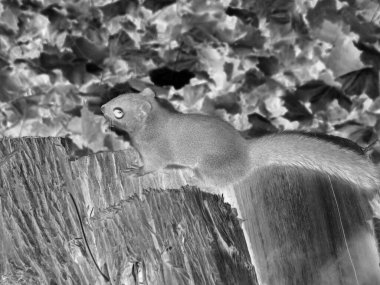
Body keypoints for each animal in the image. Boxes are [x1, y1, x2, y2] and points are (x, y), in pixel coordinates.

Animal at [101, 87, 380, 196]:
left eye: (119, 112)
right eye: (119, 95)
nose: (102, 107)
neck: (154, 123)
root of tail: (247, 152)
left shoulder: (156, 154)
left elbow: (151, 167)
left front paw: (135, 171)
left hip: (209, 166)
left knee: (218, 184)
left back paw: (195, 180)